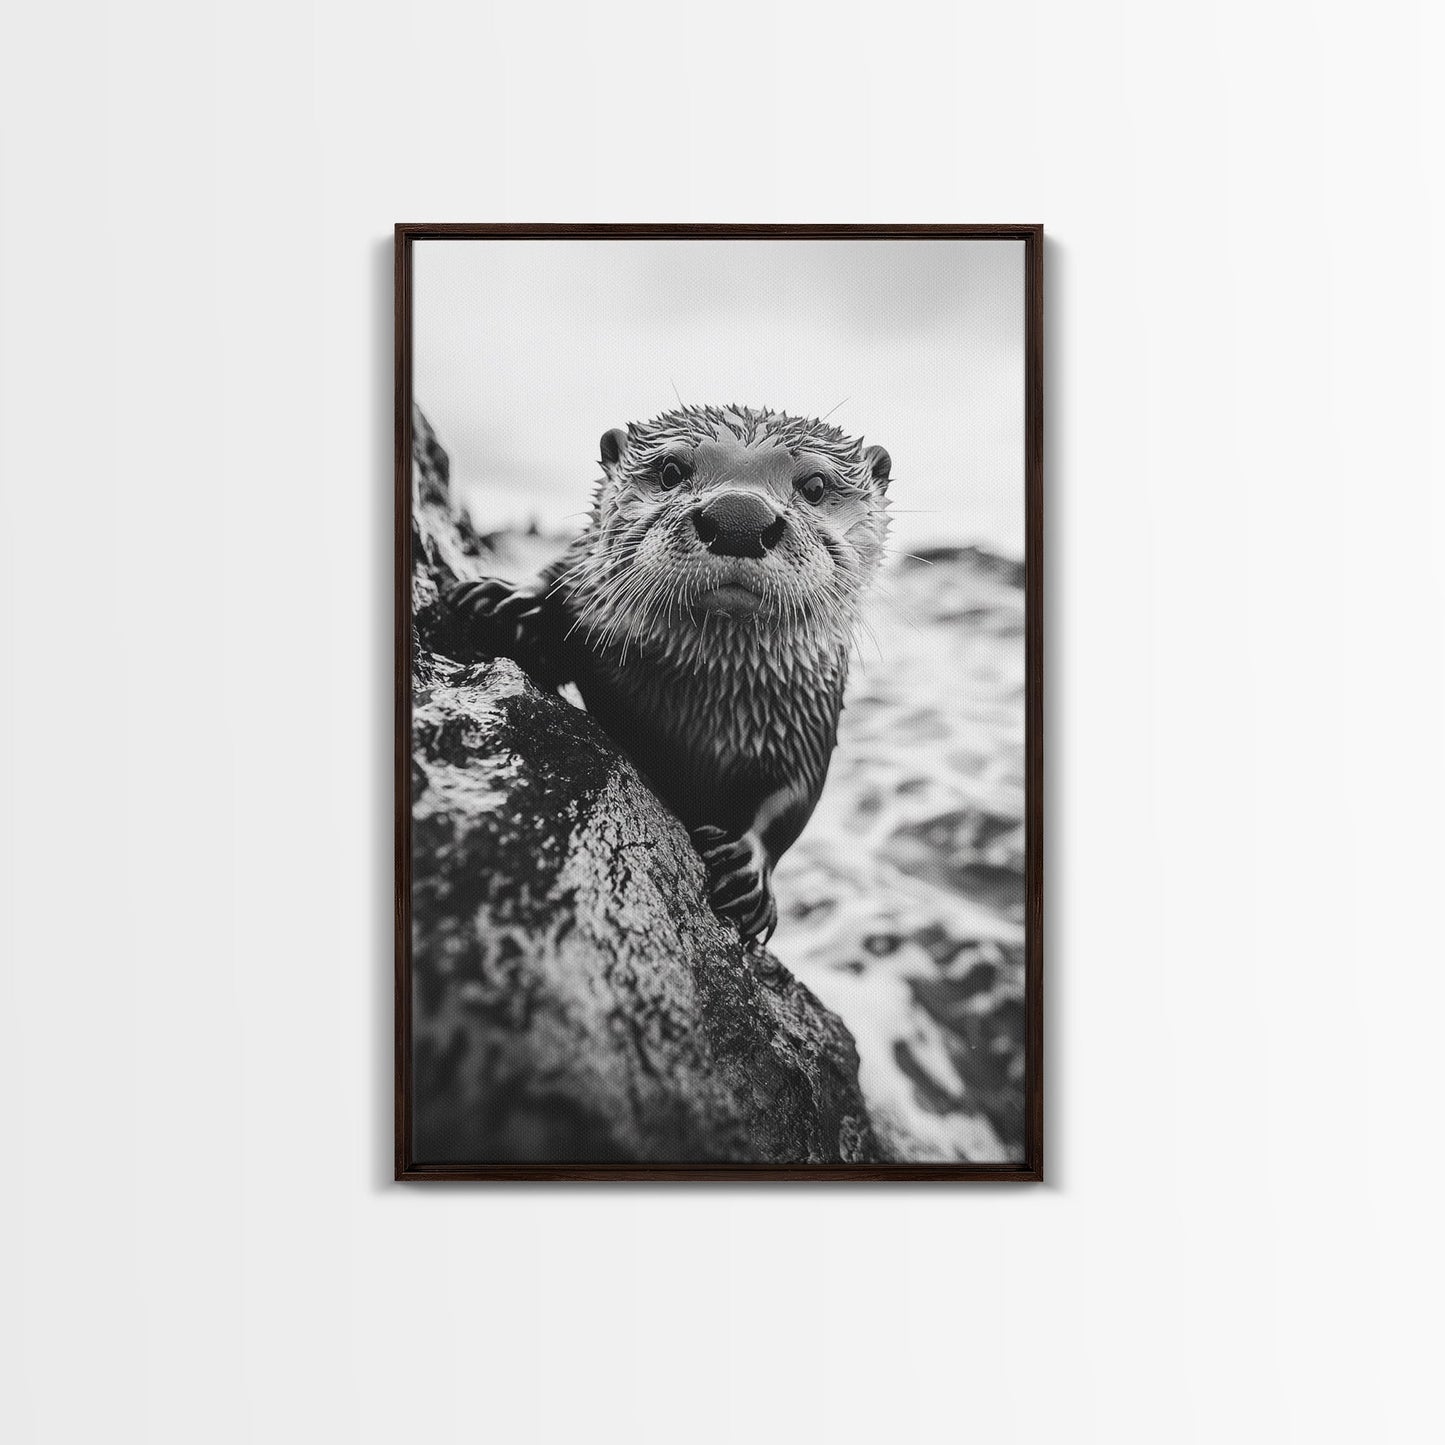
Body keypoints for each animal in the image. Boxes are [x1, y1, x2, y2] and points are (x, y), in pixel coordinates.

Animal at [445, 404, 891, 943]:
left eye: (815, 485)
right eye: (671, 470)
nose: (739, 518)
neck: (698, 704)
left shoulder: (809, 715)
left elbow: (793, 798)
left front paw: (747, 871)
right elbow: (560, 579)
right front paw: (508, 601)